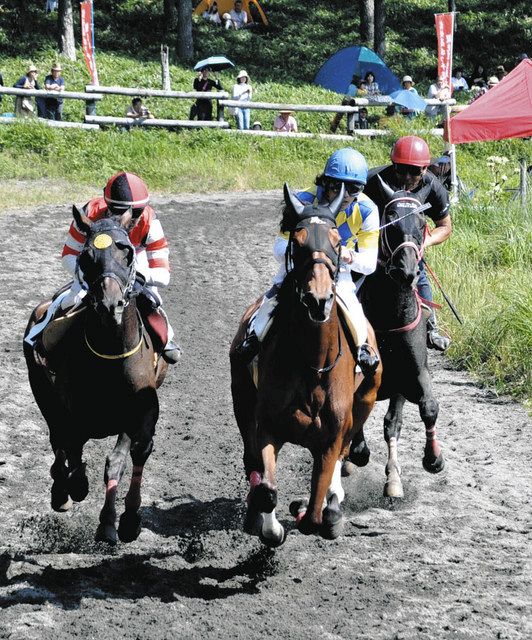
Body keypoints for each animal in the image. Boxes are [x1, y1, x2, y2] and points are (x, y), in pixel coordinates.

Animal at [22, 209, 167, 544]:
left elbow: (122, 459)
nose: (110, 304)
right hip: (42, 392)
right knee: (57, 440)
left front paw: (120, 521)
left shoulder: (138, 410)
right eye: (87, 257)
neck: (110, 354)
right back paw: (61, 490)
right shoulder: (73, 416)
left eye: (127, 253)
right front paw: (74, 487)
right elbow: (72, 454)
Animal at [231, 185, 380, 544]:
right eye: (297, 243)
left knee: (344, 457)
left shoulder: (330, 438)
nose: (318, 299)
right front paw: (271, 527)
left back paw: (333, 504)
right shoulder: (268, 427)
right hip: (241, 397)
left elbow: (313, 516)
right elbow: (267, 490)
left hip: (366, 399)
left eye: (337, 242)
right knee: (251, 460)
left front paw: (314, 509)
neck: (313, 363)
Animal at [350, 188, 444, 498]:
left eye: (421, 222)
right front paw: (356, 453)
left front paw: (432, 458)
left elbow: (421, 410)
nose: (407, 270)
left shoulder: (411, 374)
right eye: (389, 221)